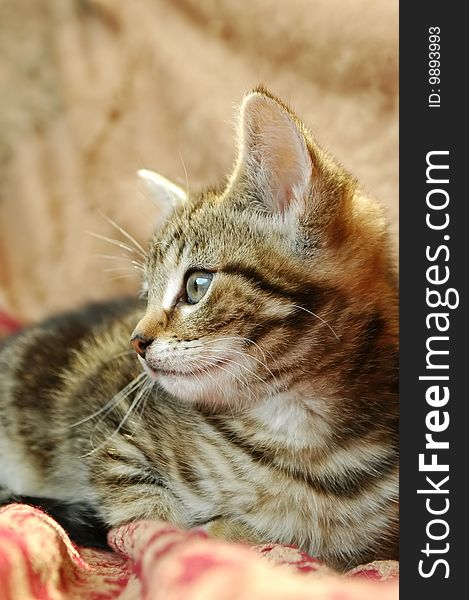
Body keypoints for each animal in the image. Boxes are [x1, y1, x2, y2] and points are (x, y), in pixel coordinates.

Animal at [0, 88, 398, 568]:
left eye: (196, 285)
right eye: (146, 294)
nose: (136, 341)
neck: (296, 434)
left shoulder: (368, 544)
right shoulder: (106, 425)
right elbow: (148, 514)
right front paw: (189, 530)